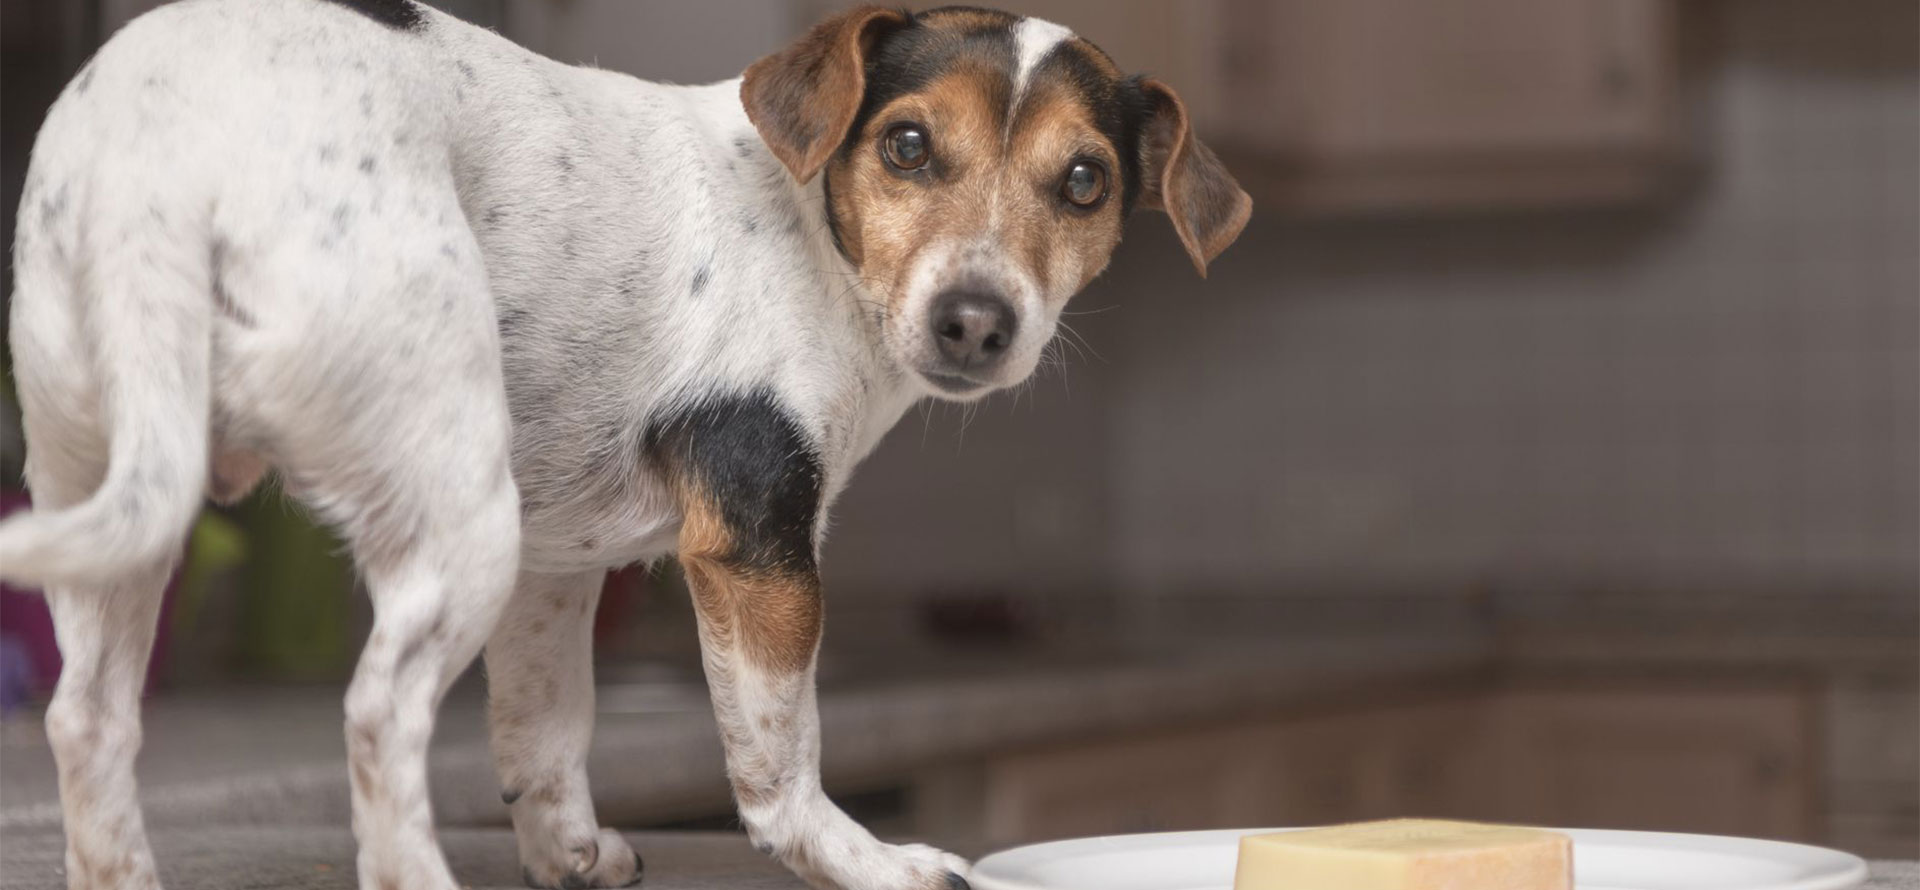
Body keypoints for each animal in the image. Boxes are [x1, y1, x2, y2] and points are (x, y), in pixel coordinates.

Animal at [0, 1, 1251, 890]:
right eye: (906, 144)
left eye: (1083, 181)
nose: (976, 322)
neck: (809, 229)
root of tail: (168, 167)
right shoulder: (756, 552)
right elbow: (779, 754)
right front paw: (862, 858)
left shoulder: (552, 572)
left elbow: (546, 728)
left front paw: (570, 851)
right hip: (459, 519)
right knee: (378, 713)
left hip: (120, 496)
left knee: (88, 719)